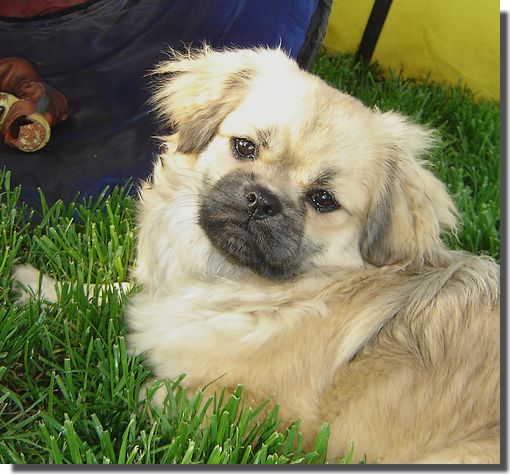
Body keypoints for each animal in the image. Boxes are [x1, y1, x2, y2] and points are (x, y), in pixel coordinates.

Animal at [14, 47, 500, 464]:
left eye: (322, 199)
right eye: (244, 147)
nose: (262, 200)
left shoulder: (274, 417)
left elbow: (161, 395)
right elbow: (110, 291)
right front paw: (41, 288)